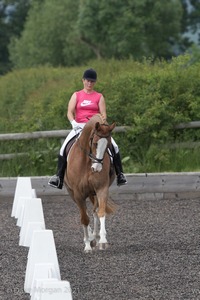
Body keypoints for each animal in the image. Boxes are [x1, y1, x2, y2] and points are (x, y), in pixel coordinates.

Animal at [64, 113, 116, 252]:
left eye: (108, 145)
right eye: (96, 143)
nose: (97, 168)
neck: (88, 161)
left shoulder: (102, 188)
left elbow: (101, 212)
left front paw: (102, 240)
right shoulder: (78, 194)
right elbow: (84, 219)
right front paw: (87, 244)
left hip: (93, 193)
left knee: (94, 211)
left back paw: (96, 237)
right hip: (72, 193)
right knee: (86, 214)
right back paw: (91, 239)